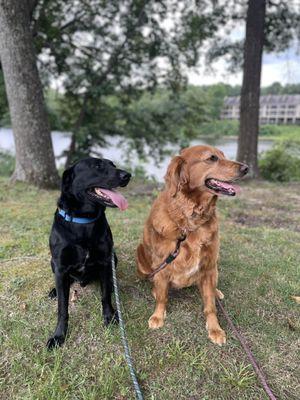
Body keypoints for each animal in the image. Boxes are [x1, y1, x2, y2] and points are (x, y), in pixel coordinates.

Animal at [46, 158, 130, 348]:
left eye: (113, 165)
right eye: (97, 166)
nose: (127, 175)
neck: (83, 221)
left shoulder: (106, 262)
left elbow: (105, 296)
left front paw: (109, 317)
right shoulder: (60, 267)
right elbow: (62, 308)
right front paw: (59, 335)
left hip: (114, 258)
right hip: (53, 263)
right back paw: (54, 291)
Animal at [136, 145, 248, 346]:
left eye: (223, 156)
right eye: (212, 158)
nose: (246, 168)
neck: (190, 222)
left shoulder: (209, 266)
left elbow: (210, 306)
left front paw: (215, 329)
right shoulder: (162, 266)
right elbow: (162, 297)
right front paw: (158, 316)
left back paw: (217, 292)